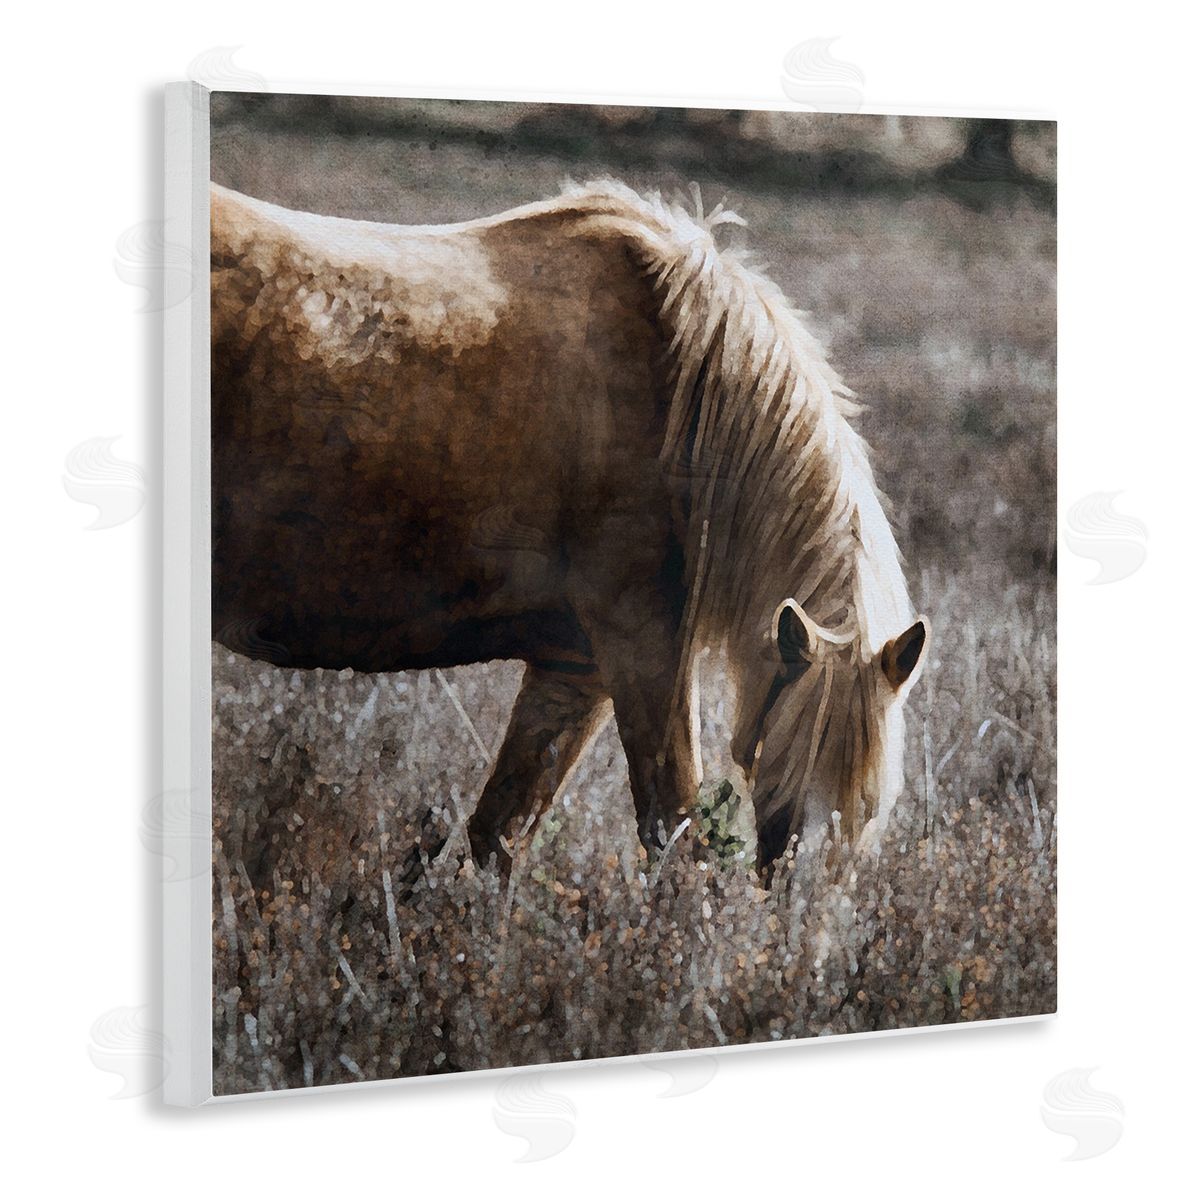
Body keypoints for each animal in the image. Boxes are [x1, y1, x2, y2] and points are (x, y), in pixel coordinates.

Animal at [209, 178, 929, 881]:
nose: (799, 917)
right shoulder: (641, 652)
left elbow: (499, 837)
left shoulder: (573, 671)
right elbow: (672, 832)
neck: (682, 394)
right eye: (795, 766)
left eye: (870, 811)